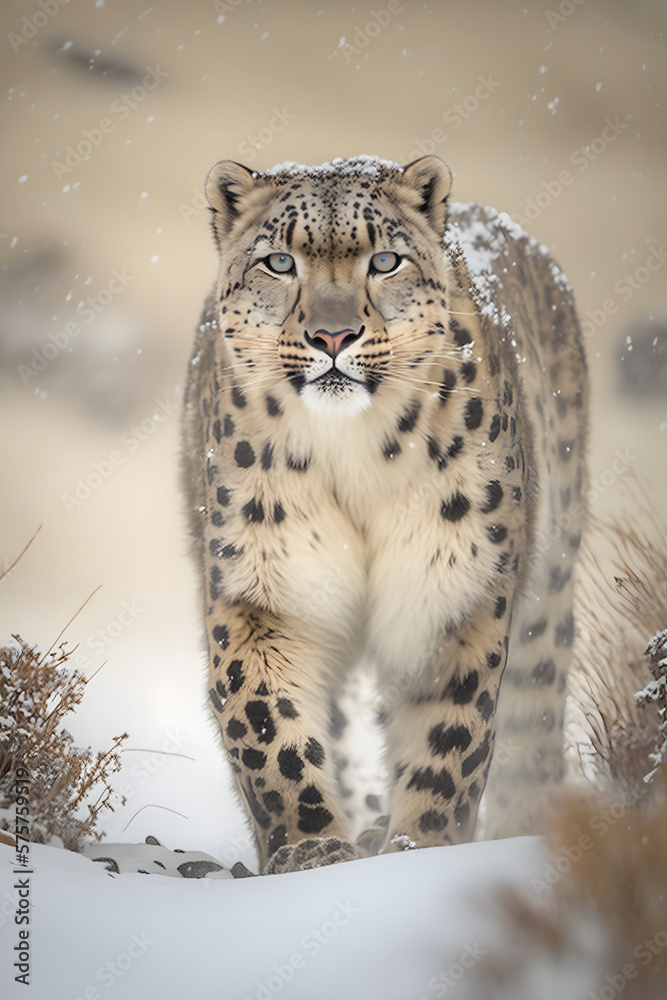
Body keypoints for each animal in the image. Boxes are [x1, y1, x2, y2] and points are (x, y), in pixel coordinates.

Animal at [181, 154, 588, 875]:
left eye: (384, 260)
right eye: (279, 262)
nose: (333, 334)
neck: (353, 455)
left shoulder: (455, 586)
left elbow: (450, 733)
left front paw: (419, 849)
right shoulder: (263, 592)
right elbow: (267, 726)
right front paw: (311, 849)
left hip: (549, 587)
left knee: (533, 707)